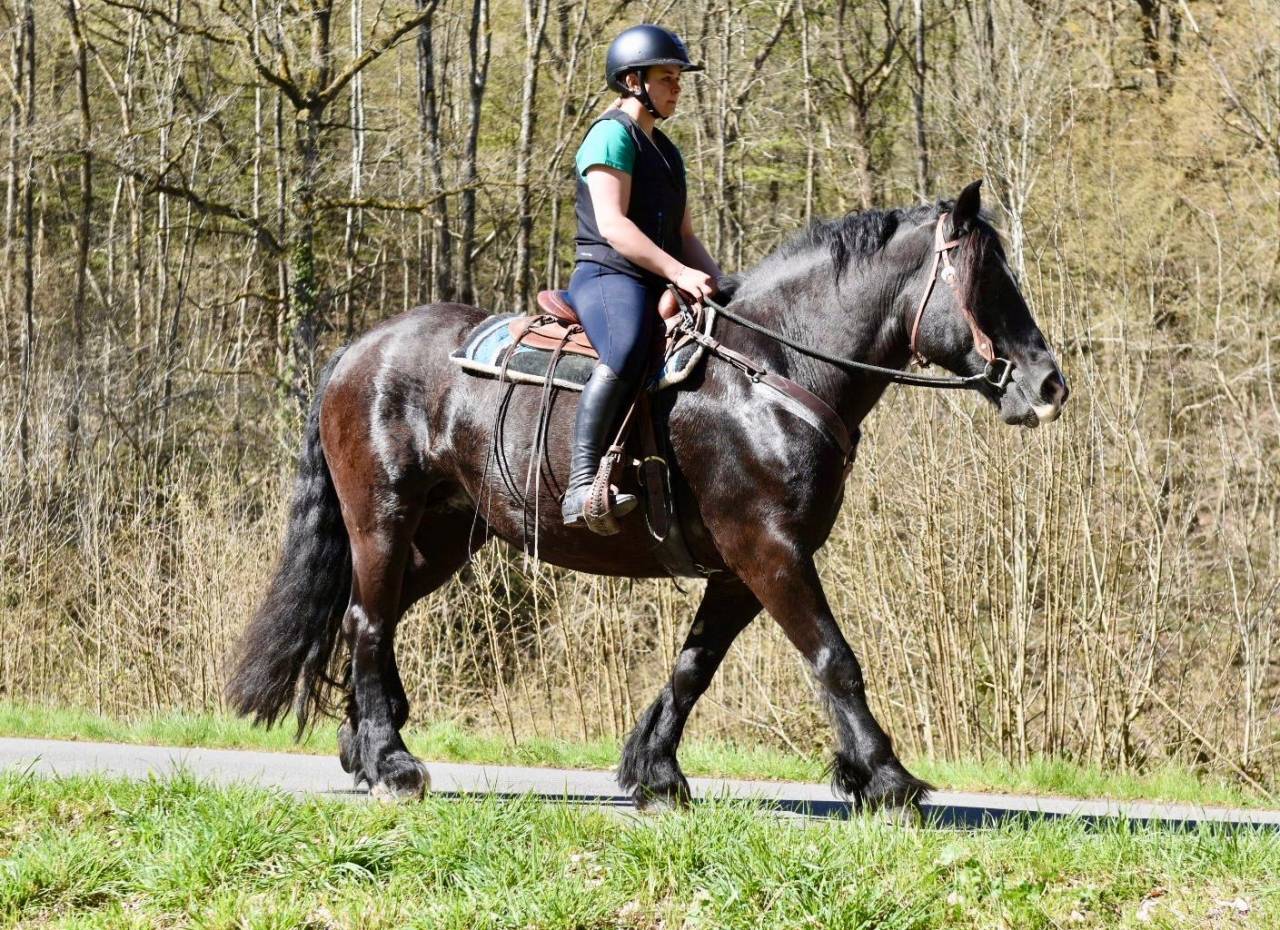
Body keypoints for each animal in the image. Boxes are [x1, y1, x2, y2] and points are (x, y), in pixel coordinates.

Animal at [226, 180, 1069, 811]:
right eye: (986, 280)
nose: (1048, 385)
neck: (771, 374)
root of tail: (359, 351)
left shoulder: (741, 569)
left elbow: (693, 668)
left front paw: (654, 772)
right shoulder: (771, 551)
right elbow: (834, 659)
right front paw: (888, 779)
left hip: (440, 538)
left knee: (368, 620)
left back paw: (364, 748)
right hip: (384, 521)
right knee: (368, 623)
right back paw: (393, 763)